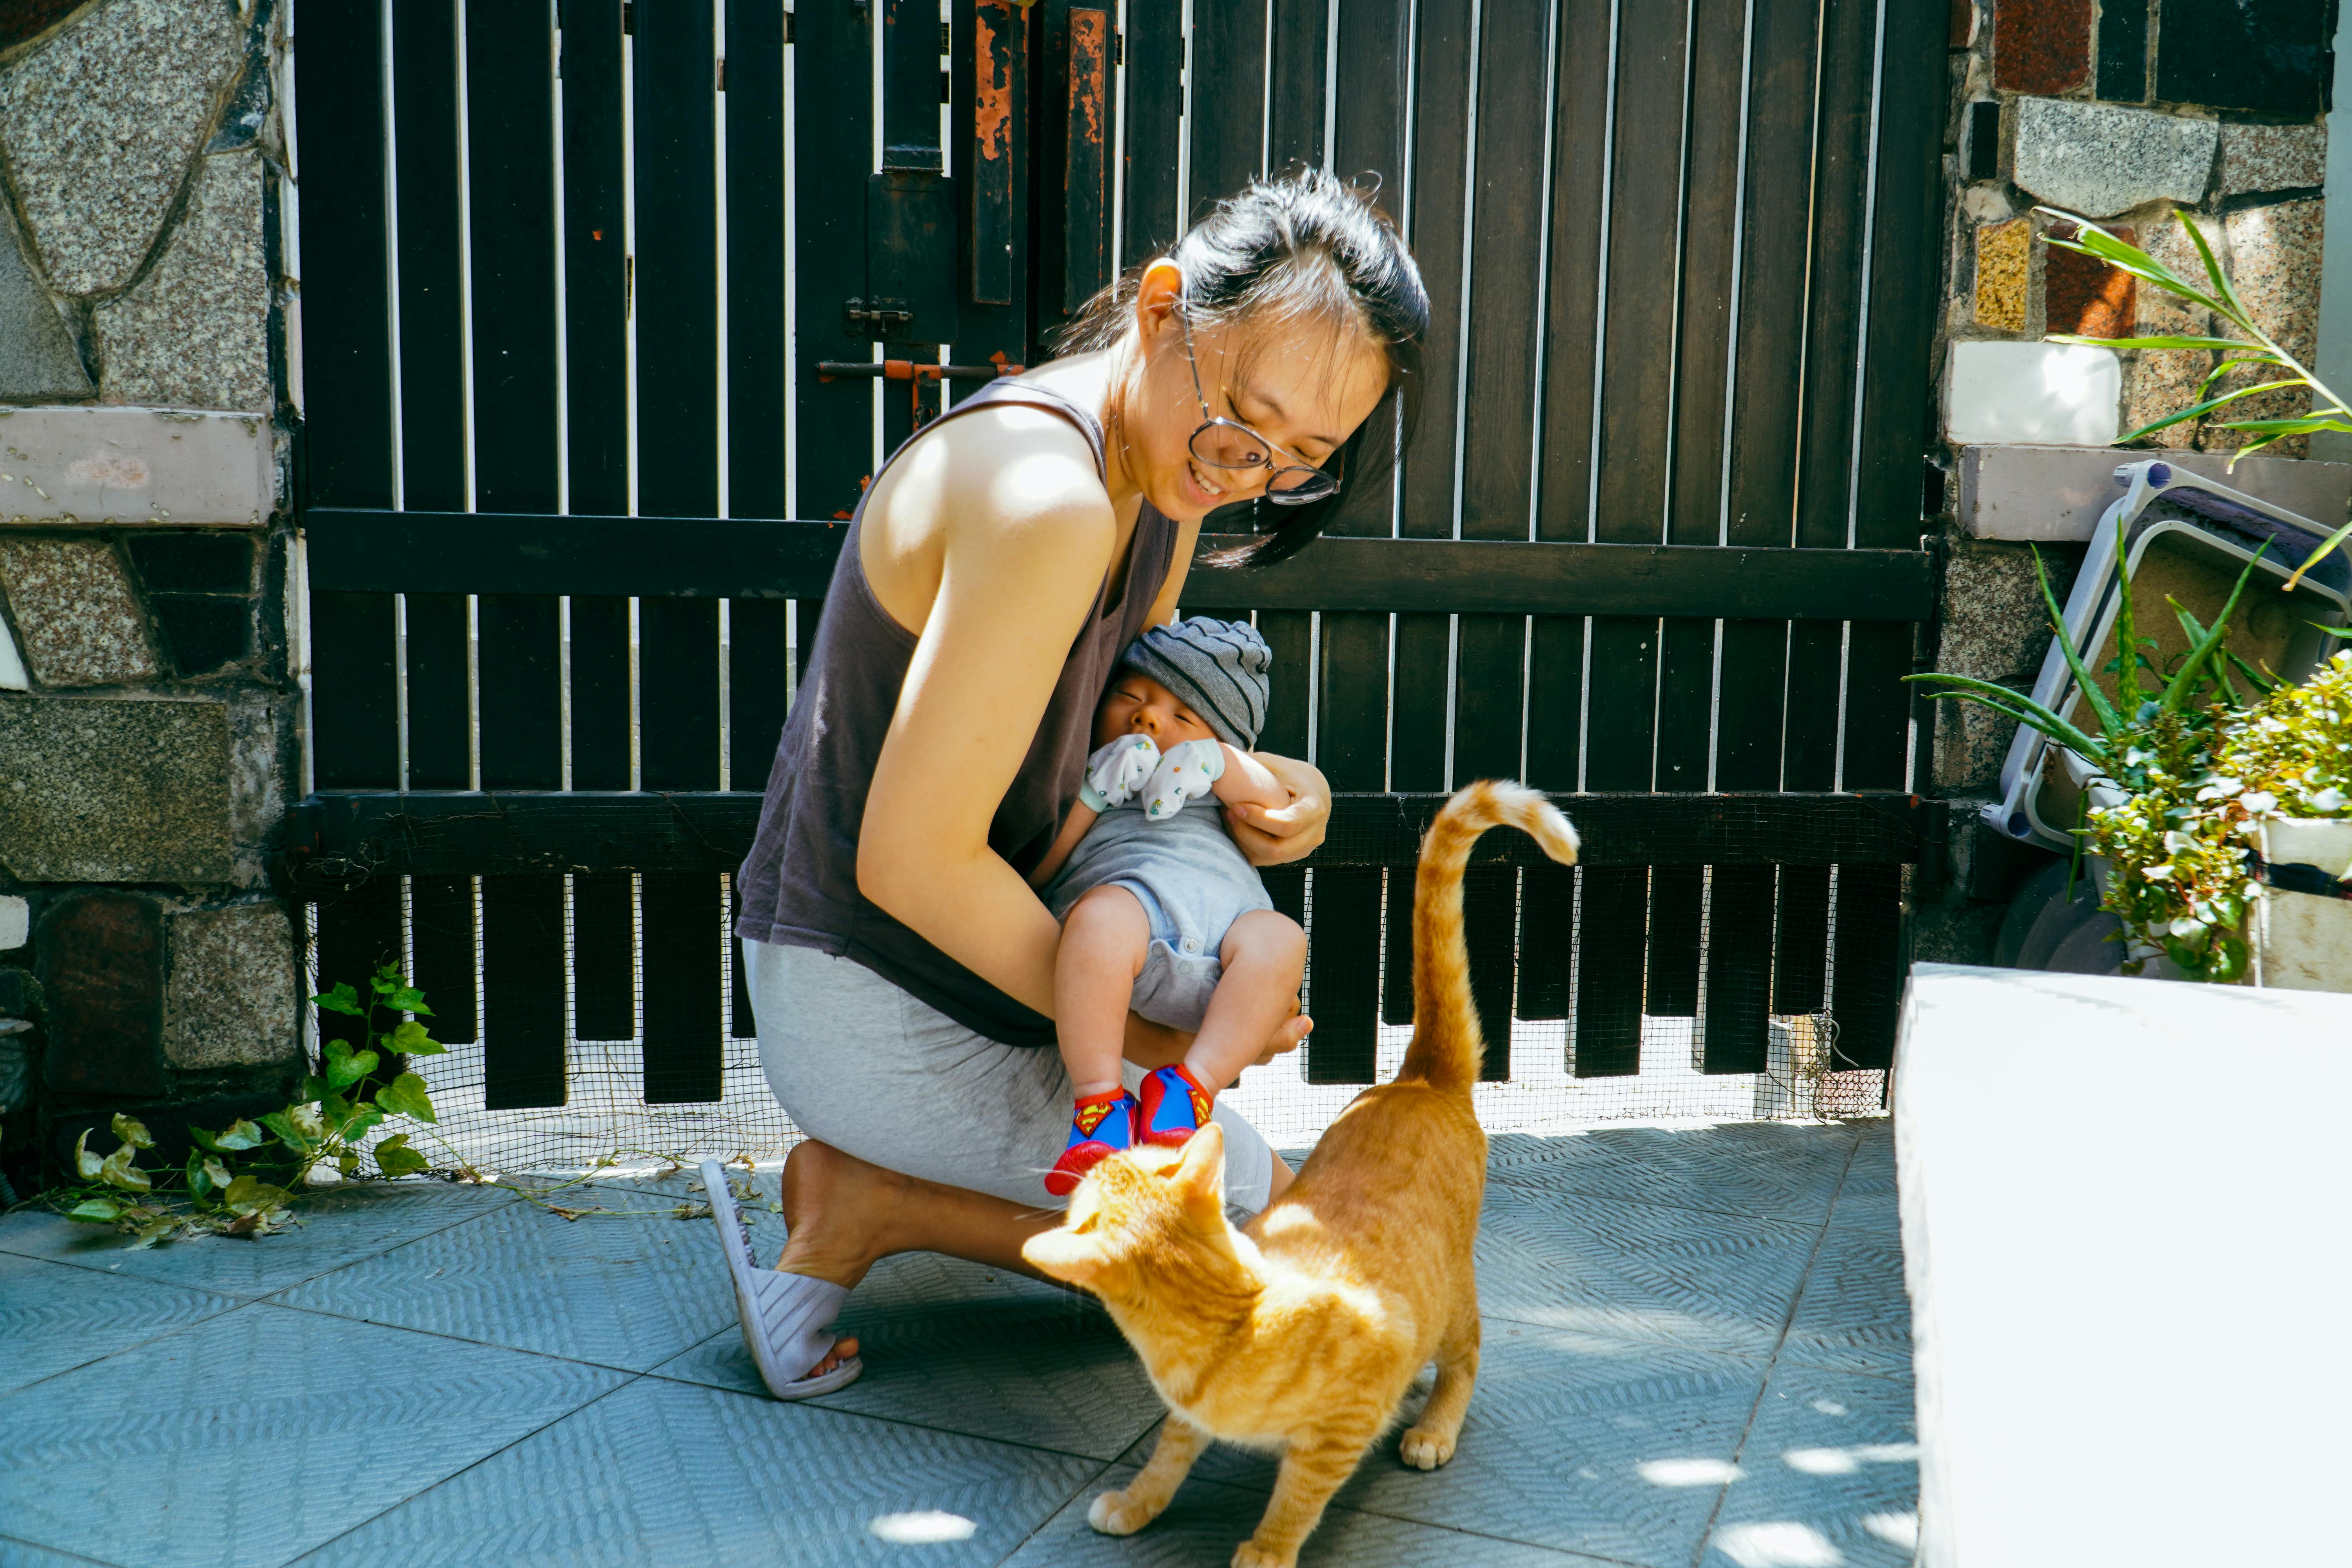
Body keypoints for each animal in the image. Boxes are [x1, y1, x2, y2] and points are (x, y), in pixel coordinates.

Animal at [1021, 780, 1571, 1561]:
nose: (1101, 1157)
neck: (1238, 1315)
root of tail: (1417, 1079)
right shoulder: (1188, 1419)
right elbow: (1168, 1453)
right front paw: (1136, 1504)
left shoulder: (1341, 1425)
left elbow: (1299, 1495)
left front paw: (1267, 1549)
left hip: (1451, 1298)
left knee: (1467, 1354)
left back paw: (1434, 1426)